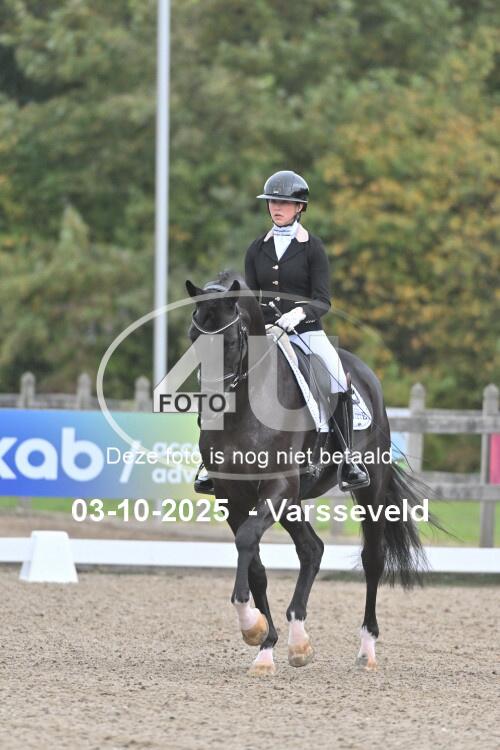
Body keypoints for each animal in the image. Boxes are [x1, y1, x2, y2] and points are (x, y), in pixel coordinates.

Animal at [186, 270, 432, 676]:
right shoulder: (232, 495)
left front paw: (250, 625)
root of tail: (363, 372)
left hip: (367, 490)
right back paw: (297, 642)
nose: (212, 405)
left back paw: (367, 648)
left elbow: (247, 541)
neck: (248, 408)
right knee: (312, 549)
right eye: (193, 337)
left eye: (231, 339)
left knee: (372, 559)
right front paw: (263, 642)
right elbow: (254, 562)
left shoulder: (277, 487)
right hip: (293, 501)